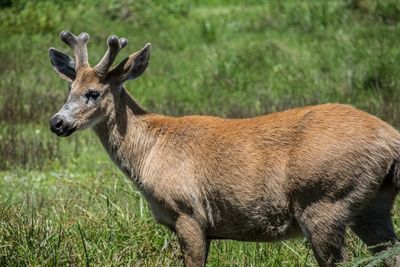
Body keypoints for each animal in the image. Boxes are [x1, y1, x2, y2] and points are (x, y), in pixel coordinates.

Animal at [49, 31, 400, 267]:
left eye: (93, 93)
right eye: (70, 89)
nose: (57, 122)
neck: (149, 151)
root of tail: (392, 139)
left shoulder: (188, 212)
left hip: (325, 201)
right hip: (373, 207)